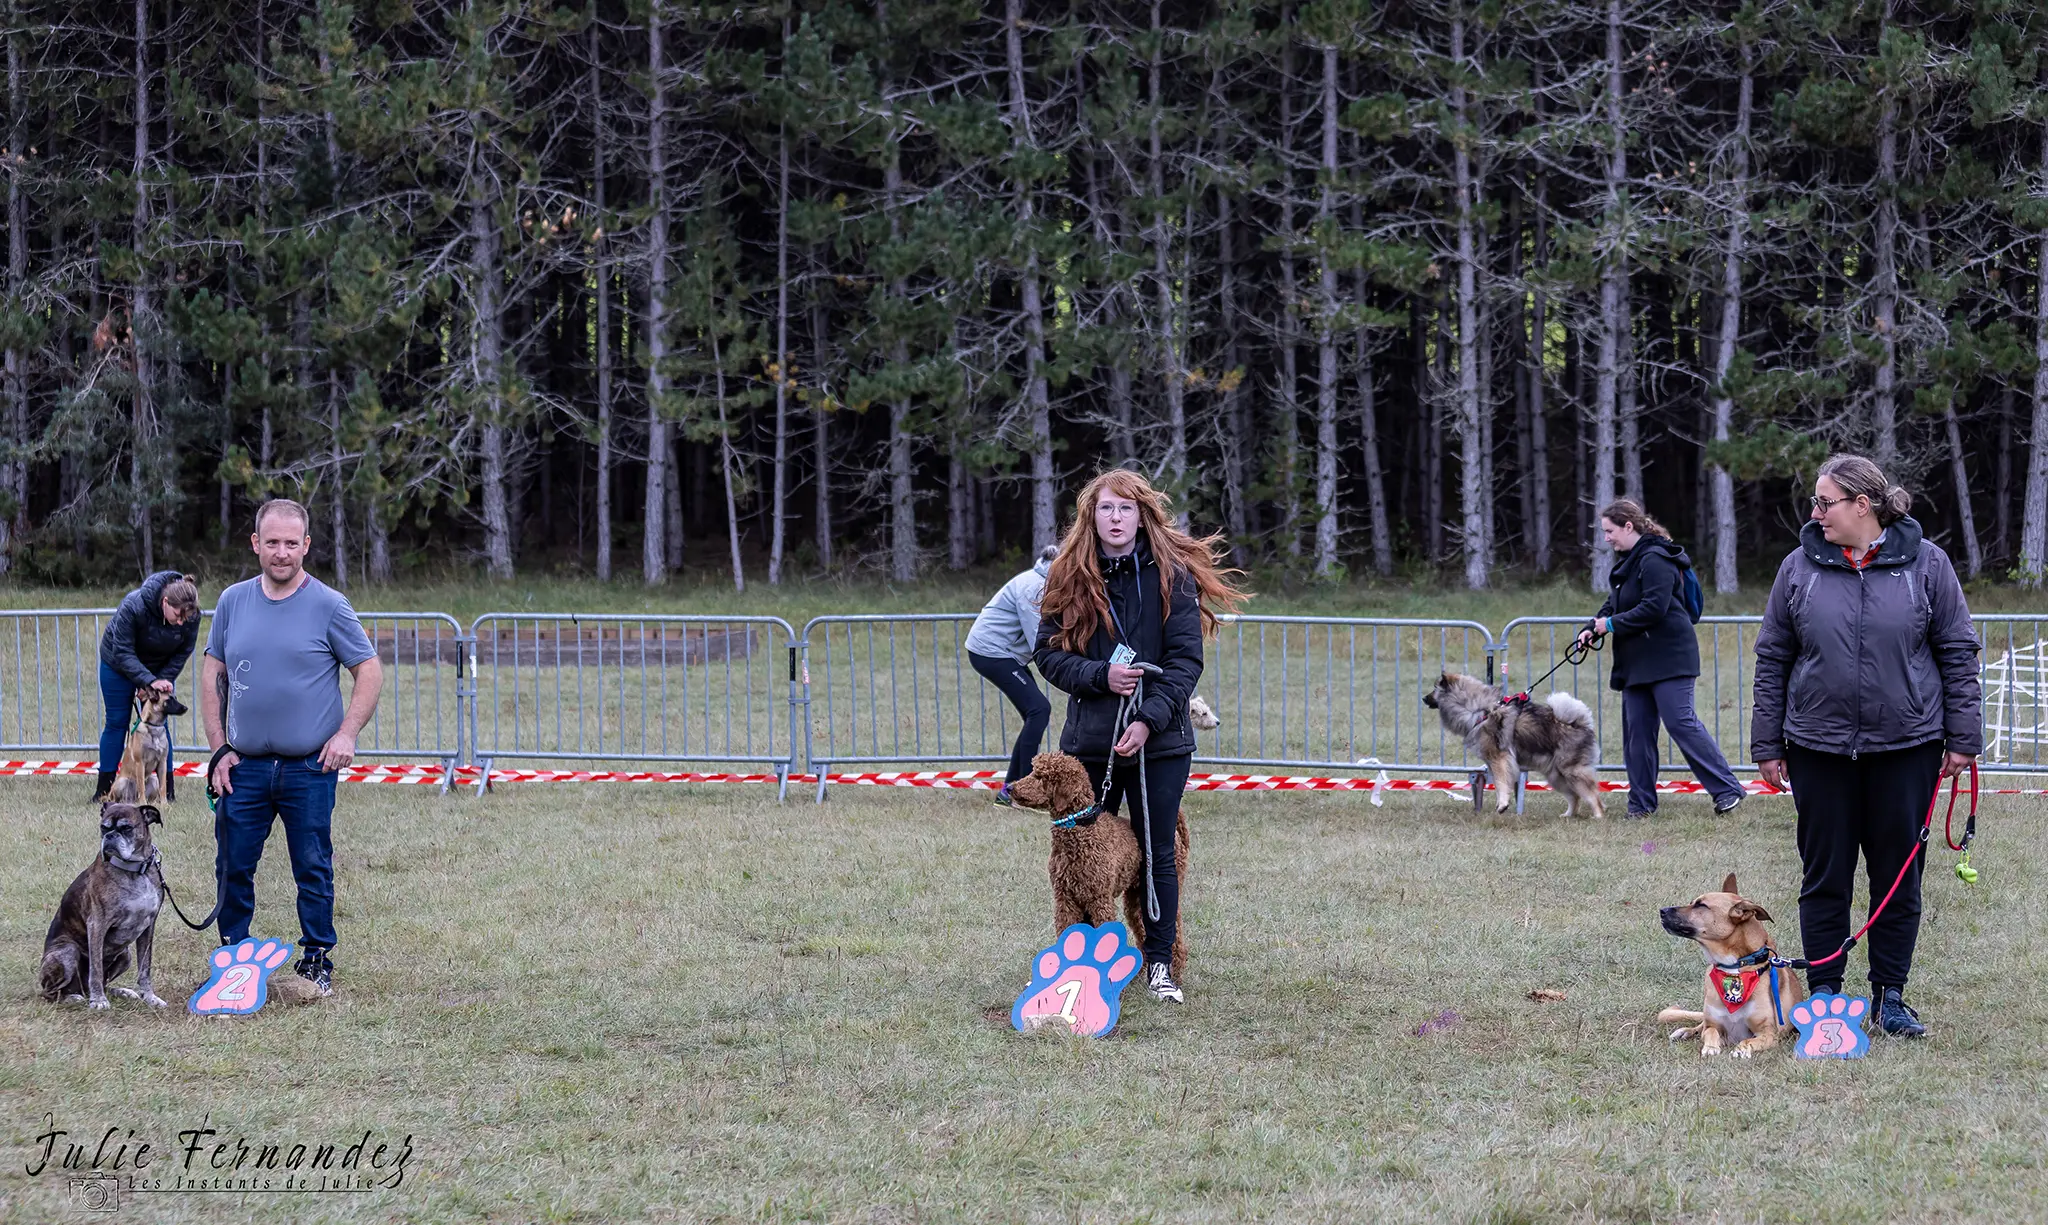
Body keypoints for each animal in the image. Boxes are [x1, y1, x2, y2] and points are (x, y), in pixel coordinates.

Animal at [1003, 749, 1196, 979]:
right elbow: (1067, 935)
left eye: (1041, 776)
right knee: (1142, 930)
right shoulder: (1065, 899)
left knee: (1174, 930)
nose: (1011, 788)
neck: (1082, 831)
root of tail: (1175, 835)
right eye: (1034, 771)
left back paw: (1173, 971)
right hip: (1136, 897)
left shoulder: (1100, 899)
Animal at [1425, 676, 1597, 819]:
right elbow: (1498, 784)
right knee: (1575, 796)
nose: (1423, 698)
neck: (1480, 711)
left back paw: (1597, 816)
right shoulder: (1493, 763)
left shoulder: (1499, 759)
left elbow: (1501, 783)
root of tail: (1579, 725)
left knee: (1592, 795)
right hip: (1556, 776)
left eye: (1435, 688)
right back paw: (1568, 815)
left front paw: (1502, 805)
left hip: (1571, 771)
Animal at [1654, 876, 1802, 1057]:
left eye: (1701, 905)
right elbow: (1710, 1031)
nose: (1662, 910)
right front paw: (1710, 1048)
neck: (1734, 968)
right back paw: (1685, 1031)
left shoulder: (1768, 1033)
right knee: (1700, 1025)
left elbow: (1748, 1040)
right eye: (1693, 902)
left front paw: (1742, 1049)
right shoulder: (1714, 1026)